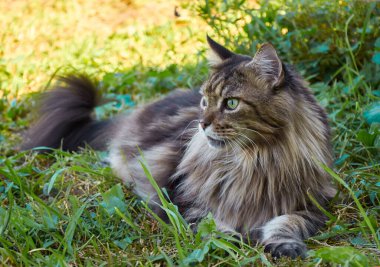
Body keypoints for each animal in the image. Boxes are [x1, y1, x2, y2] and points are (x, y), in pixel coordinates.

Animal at [20, 36, 336, 260]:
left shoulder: (311, 204)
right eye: (205, 101)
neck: (254, 161)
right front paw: (231, 240)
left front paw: (284, 246)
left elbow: (286, 223)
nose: (202, 124)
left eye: (231, 103)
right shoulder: (184, 201)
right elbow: (212, 224)